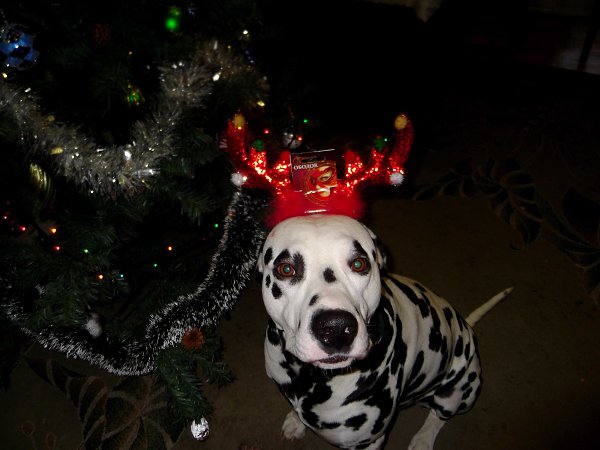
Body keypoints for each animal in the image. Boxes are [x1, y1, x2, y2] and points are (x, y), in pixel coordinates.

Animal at [257, 214, 512, 450]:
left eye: (359, 264)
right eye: (286, 269)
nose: (336, 328)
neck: (309, 376)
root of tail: (465, 326)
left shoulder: (369, 442)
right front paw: (296, 420)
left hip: (460, 391)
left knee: (440, 415)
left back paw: (423, 439)